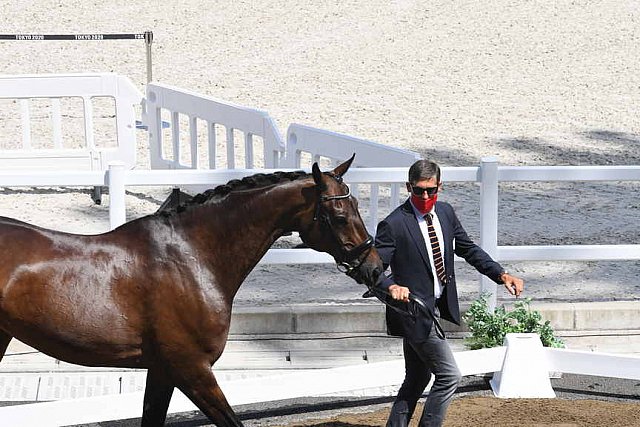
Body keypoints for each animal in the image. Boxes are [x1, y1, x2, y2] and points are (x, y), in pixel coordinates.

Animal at [0, 155, 382, 426]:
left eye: (357, 207)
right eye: (339, 215)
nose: (374, 267)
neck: (191, 256)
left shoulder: (162, 372)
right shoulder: (192, 369)